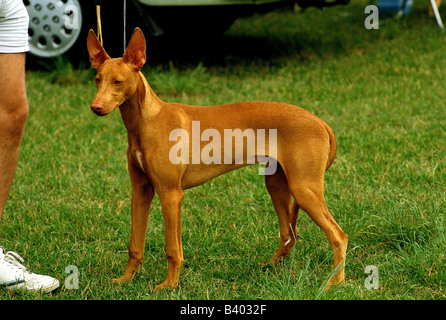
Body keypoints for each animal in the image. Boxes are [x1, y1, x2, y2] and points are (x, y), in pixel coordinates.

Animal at [85, 28, 346, 292]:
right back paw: (270, 268)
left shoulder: (171, 194)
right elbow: (135, 245)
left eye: (118, 81)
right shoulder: (140, 192)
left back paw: (336, 281)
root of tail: (321, 122)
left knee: (338, 235)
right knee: (288, 234)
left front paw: (169, 285)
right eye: (97, 79)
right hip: (277, 185)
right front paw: (126, 280)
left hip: (303, 189)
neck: (147, 121)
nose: (95, 107)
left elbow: (172, 249)